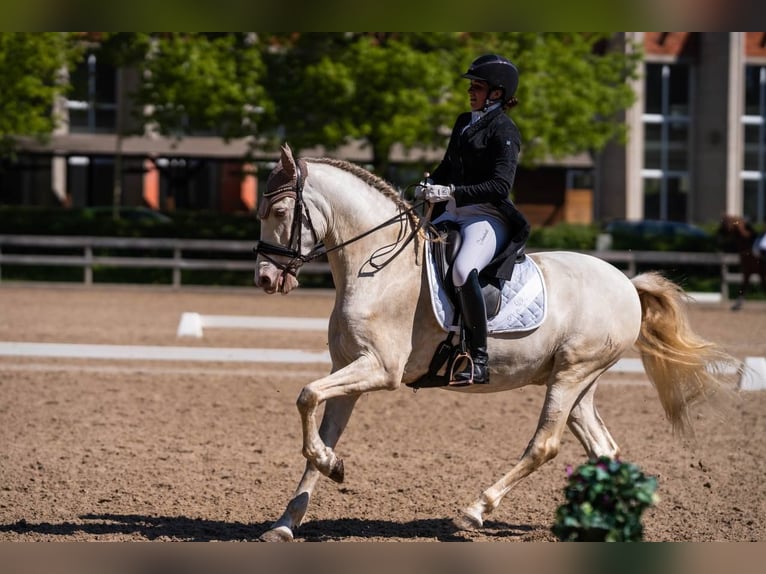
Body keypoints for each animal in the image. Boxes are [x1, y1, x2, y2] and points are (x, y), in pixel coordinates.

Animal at [253, 144, 739, 542]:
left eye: (279, 212)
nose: (265, 279)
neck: (377, 269)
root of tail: (626, 282)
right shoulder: (348, 370)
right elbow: (320, 427)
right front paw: (290, 516)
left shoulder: (379, 370)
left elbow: (305, 395)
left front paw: (327, 469)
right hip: (579, 382)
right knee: (603, 448)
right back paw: (604, 525)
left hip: (572, 373)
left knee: (544, 445)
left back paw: (475, 510)